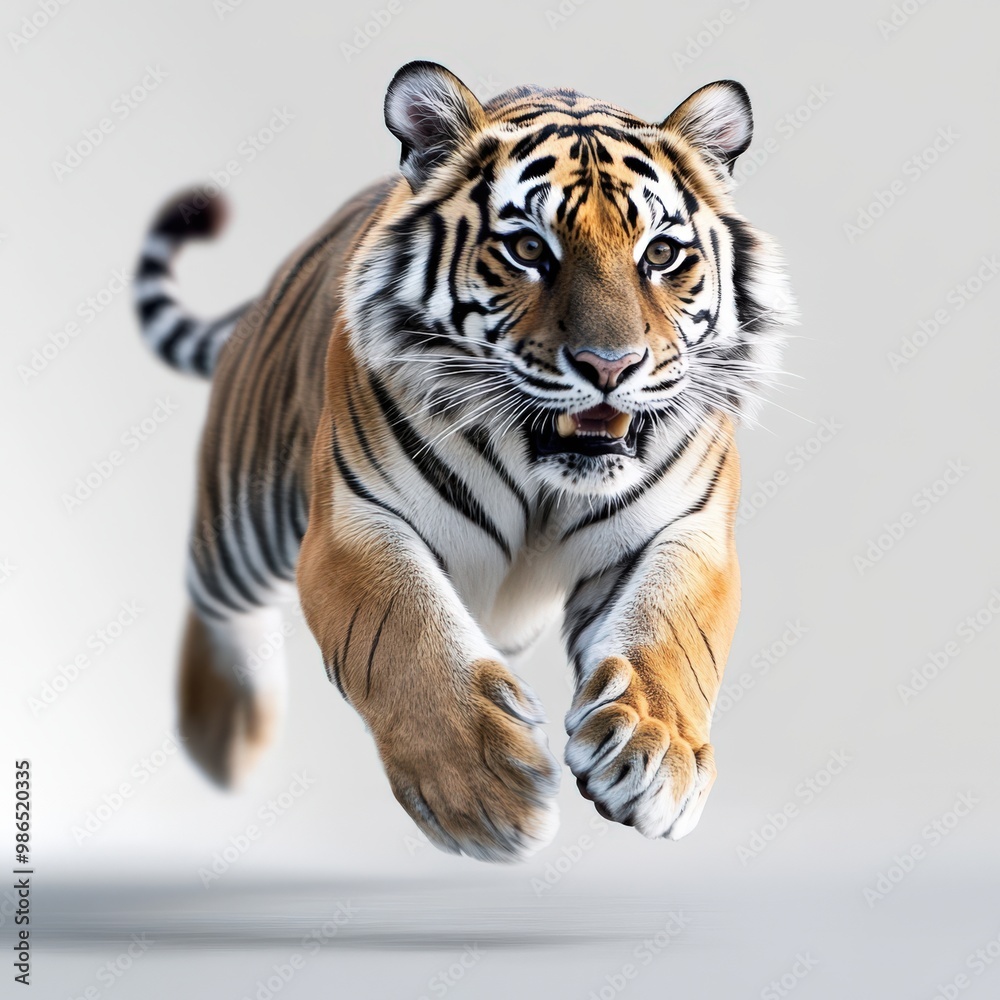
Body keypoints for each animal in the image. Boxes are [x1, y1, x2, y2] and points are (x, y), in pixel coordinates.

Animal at [134, 60, 795, 862]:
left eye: (661, 255)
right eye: (529, 250)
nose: (611, 366)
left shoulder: (687, 530)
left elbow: (670, 633)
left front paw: (654, 753)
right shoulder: (355, 523)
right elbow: (404, 635)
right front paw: (485, 790)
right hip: (243, 516)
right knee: (211, 599)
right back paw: (224, 740)